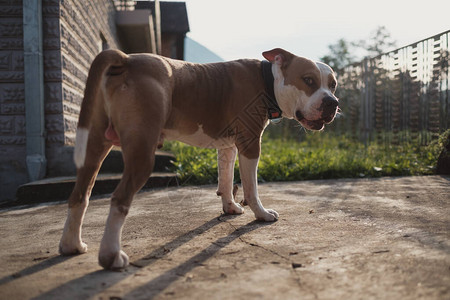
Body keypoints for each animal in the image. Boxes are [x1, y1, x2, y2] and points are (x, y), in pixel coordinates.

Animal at [59, 47, 338, 270]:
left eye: (333, 84)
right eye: (309, 80)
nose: (332, 102)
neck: (266, 79)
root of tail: (126, 58)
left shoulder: (228, 147)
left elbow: (226, 179)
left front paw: (230, 207)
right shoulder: (250, 145)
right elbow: (251, 187)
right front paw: (261, 213)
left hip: (94, 145)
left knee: (80, 194)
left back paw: (72, 245)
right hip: (142, 153)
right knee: (119, 199)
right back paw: (111, 256)